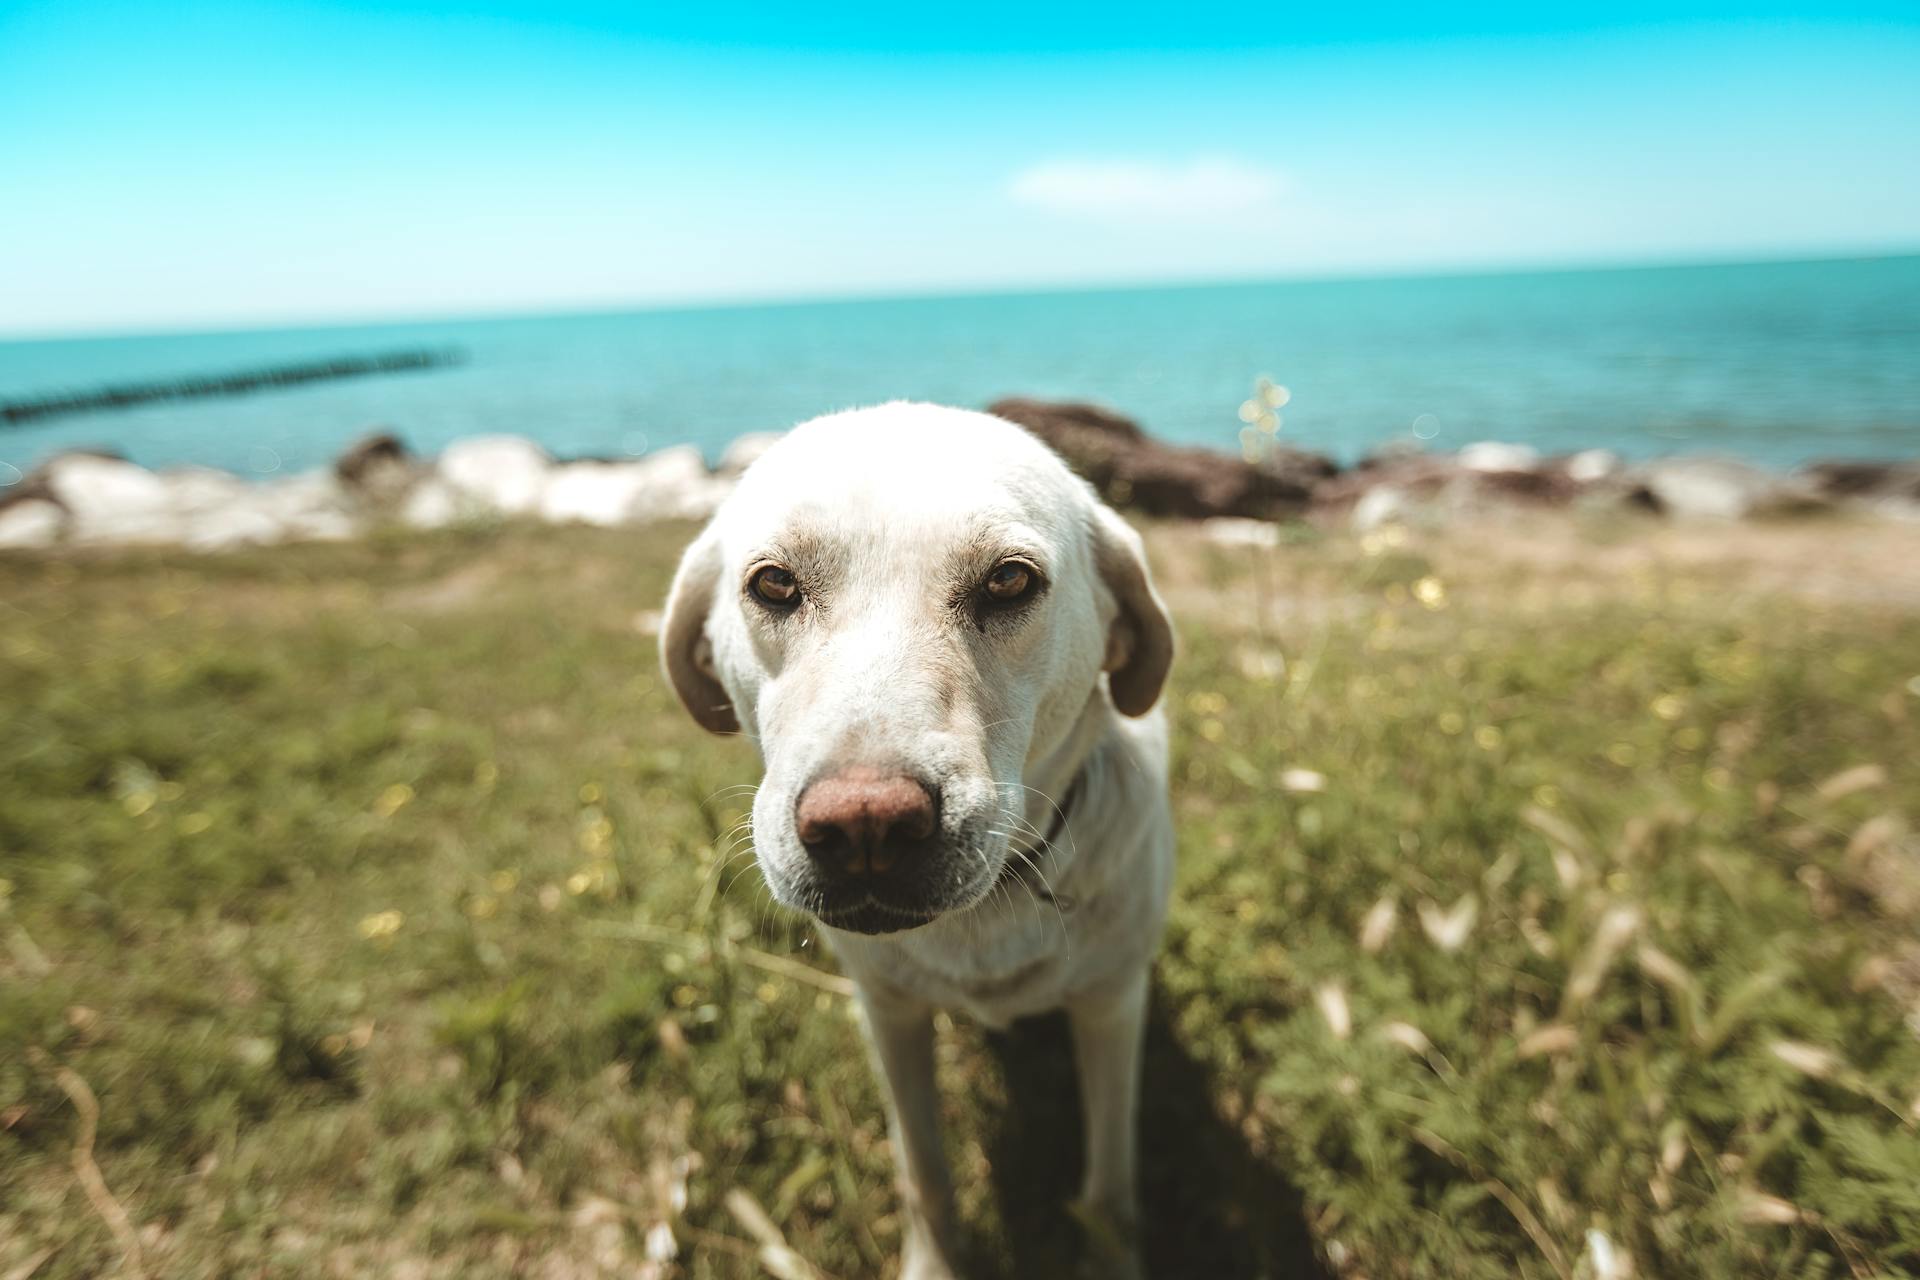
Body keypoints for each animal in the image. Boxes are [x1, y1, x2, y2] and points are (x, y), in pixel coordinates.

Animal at [660, 402, 1167, 1280]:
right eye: (774, 584)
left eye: (1009, 581)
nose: (865, 824)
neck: (985, 920)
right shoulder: (889, 1014)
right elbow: (922, 1170)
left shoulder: (1111, 1008)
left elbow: (1107, 1189)